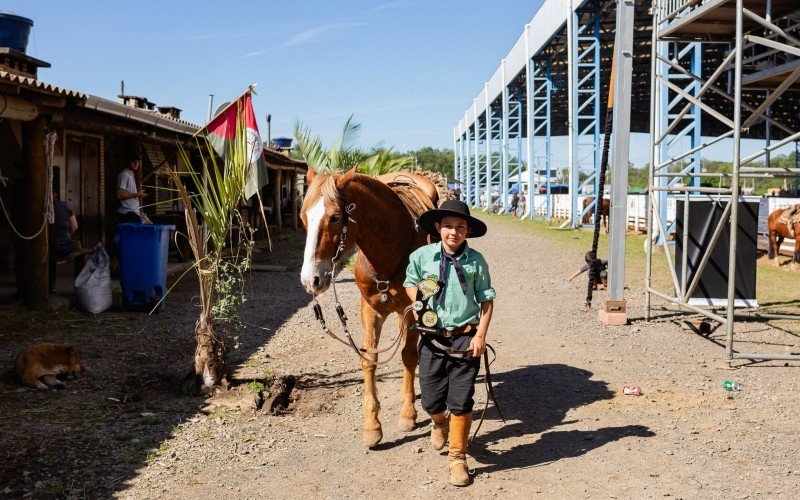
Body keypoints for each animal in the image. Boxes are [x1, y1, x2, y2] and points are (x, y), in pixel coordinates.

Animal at [298, 166, 438, 448]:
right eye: (303, 217)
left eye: (335, 217)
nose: (311, 280)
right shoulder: (370, 311)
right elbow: (369, 359)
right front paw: (372, 426)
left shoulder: (412, 310)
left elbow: (409, 356)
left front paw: (408, 414)